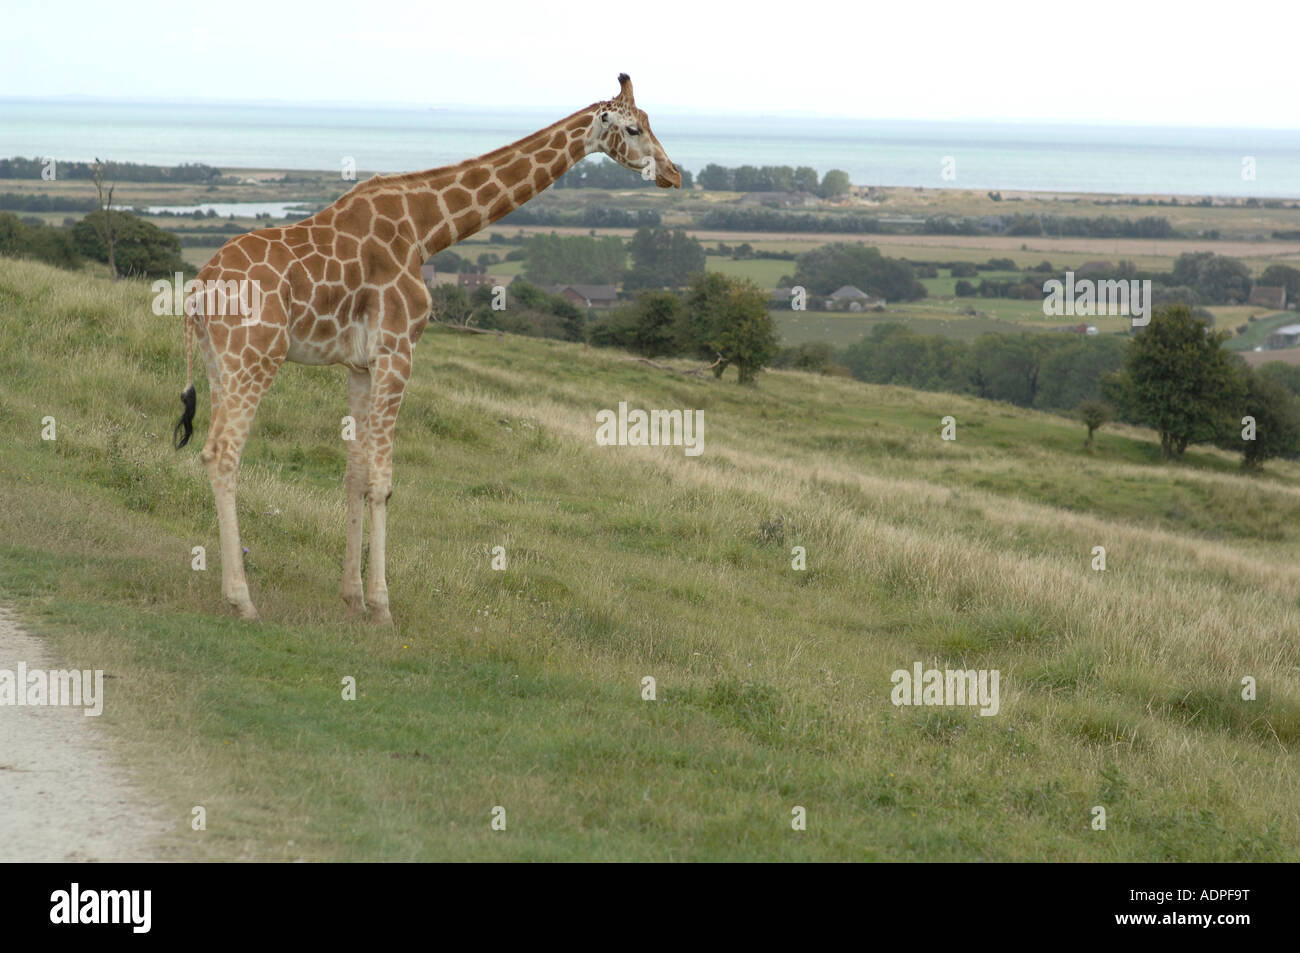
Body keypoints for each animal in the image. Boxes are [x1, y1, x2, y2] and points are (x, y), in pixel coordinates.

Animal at [174, 76, 681, 624]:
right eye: (633, 128)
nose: (674, 174)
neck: (426, 229)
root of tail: (198, 287)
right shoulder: (399, 352)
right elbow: (382, 482)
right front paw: (382, 607)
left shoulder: (361, 364)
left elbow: (354, 474)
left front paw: (352, 596)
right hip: (255, 358)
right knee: (222, 454)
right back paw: (242, 599)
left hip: (221, 363)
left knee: (217, 450)